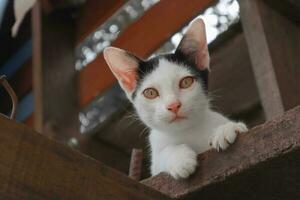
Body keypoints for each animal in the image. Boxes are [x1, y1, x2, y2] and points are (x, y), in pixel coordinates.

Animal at [103, 18, 248, 179]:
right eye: (150, 93)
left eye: (186, 82)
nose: (173, 105)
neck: (187, 132)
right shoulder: (156, 167)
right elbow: (162, 157)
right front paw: (179, 158)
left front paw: (227, 128)